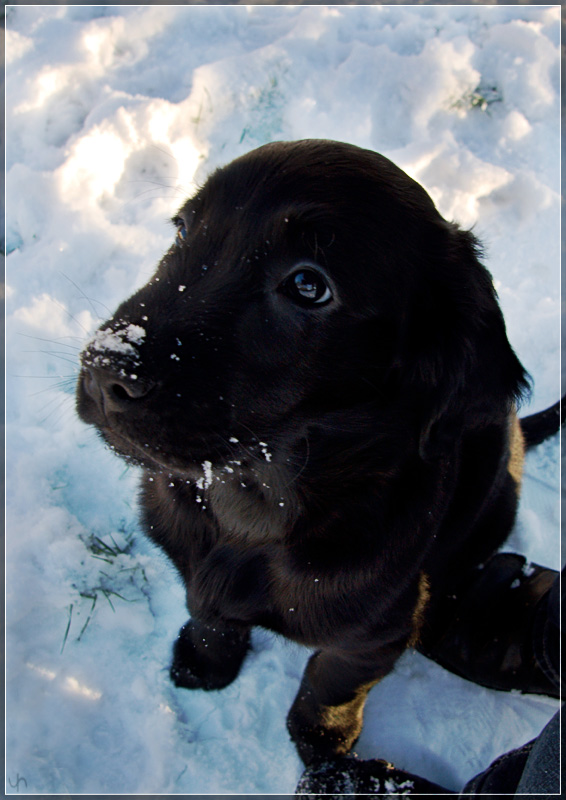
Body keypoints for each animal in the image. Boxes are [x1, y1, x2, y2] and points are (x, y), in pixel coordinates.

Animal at [77, 141, 544, 764]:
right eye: (183, 230)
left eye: (308, 285)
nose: (106, 372)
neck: (252, 500)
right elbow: (207, 611)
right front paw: (204, 662)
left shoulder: (379, 632)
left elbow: (331, 681)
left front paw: (323, 745)